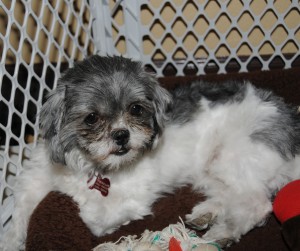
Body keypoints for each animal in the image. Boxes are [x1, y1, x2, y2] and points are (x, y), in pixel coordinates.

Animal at [0, 56, 300, 250]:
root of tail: (291, 121)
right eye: (92, 118)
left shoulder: (127, 203)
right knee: (234, 195)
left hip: (234, 156)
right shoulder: (38, 174)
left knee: (257, 203)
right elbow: (21, 208)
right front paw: (11, 240)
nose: (122, 135)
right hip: (209, 169)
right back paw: (207, 213)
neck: (92, 164)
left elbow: (91, 217)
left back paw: (224, 231)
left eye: (136, 109)